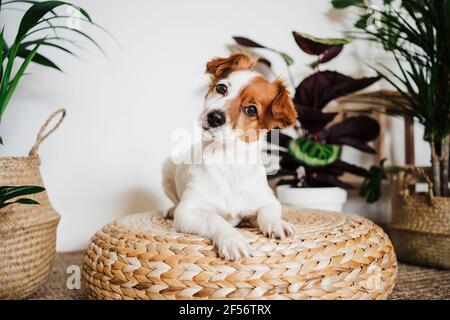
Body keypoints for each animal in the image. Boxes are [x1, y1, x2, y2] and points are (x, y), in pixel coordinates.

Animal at [162, 52, 298, 260]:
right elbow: (215, 219)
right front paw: (232, 239)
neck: (228, 159)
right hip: (167, 167)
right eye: (221, 88)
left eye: (251, 110)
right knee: (175, 201)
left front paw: (277, 224)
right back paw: (170, 209)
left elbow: (267, 213)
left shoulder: (268, 201)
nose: (214, 117)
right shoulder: (188, 211)